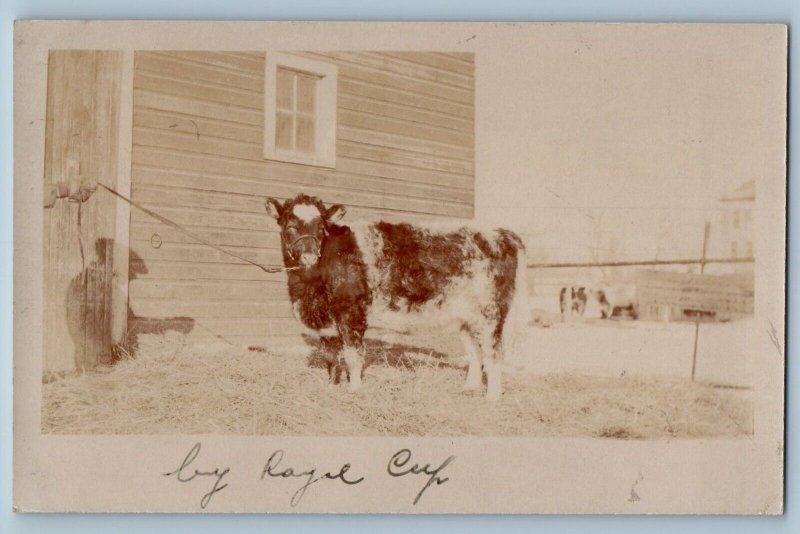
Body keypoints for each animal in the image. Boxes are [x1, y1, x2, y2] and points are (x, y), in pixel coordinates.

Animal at [266, 195, 528, 400]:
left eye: (321, 227)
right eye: (289, 226)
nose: (309, 256)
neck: (308, 291)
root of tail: (503, 233)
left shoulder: (351, 314)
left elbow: (352, 355)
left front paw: (354, 391)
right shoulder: (326, 321)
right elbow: (330, 357)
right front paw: (331, 389)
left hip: (491, 312)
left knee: (494, 353)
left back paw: (492, 398)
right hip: (466, 317)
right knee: (474, 352)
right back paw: (469, 389)